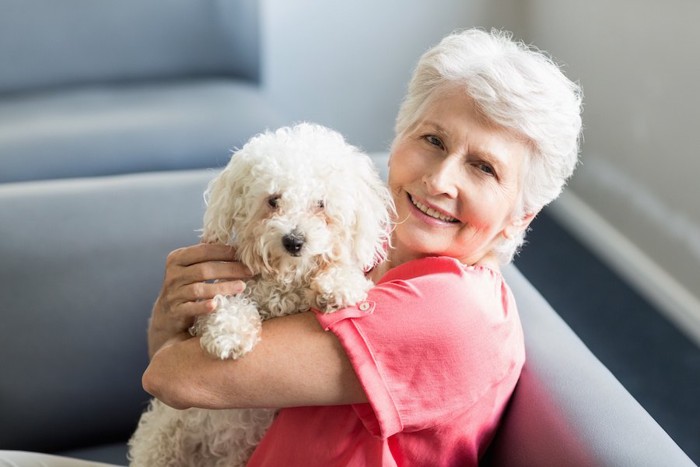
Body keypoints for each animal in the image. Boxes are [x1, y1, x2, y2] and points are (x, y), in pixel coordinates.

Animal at [127, 122, 394, 466]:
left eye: (321, 204)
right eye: (273, 200)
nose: (294, 241)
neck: (285, 280)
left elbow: (341, 271)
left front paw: (339, 285)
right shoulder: (222, 289)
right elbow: (229, 304)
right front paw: (230, 335)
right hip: (166, 437)